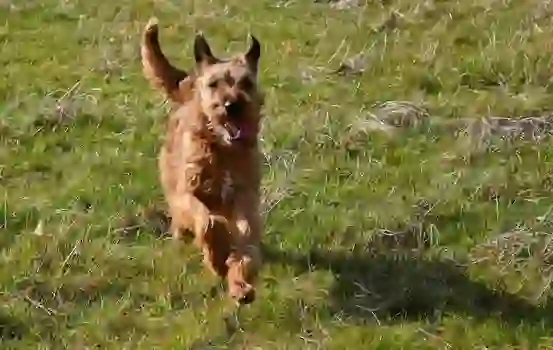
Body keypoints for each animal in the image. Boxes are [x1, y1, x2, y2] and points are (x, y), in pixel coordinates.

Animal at [141, 17, 264, 304]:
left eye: (246, 83)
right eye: (214, 84)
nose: (232, 105)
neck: (223, 150)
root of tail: (189, 85)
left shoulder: (246, 200)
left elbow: (246, 242)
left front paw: (240, 283)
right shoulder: (188, 192)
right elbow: (208, 221)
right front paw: (217, 258)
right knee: (184, 220)